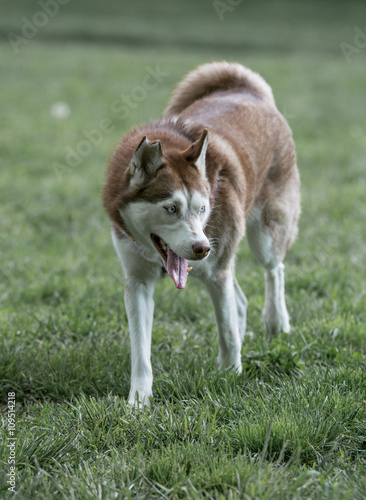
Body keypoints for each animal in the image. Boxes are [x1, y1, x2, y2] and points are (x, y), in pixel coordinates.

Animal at [103, 61, 300, 406]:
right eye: (171, 208)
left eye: (202, 208)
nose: (201, 248)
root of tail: (246, 88)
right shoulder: (137, 281)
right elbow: (140, 351)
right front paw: (138, 401)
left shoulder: (216, 270)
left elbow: (227, 332)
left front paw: (230, 376)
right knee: (240, 300)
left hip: (263, 235)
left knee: (274, 269)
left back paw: (277, 322)